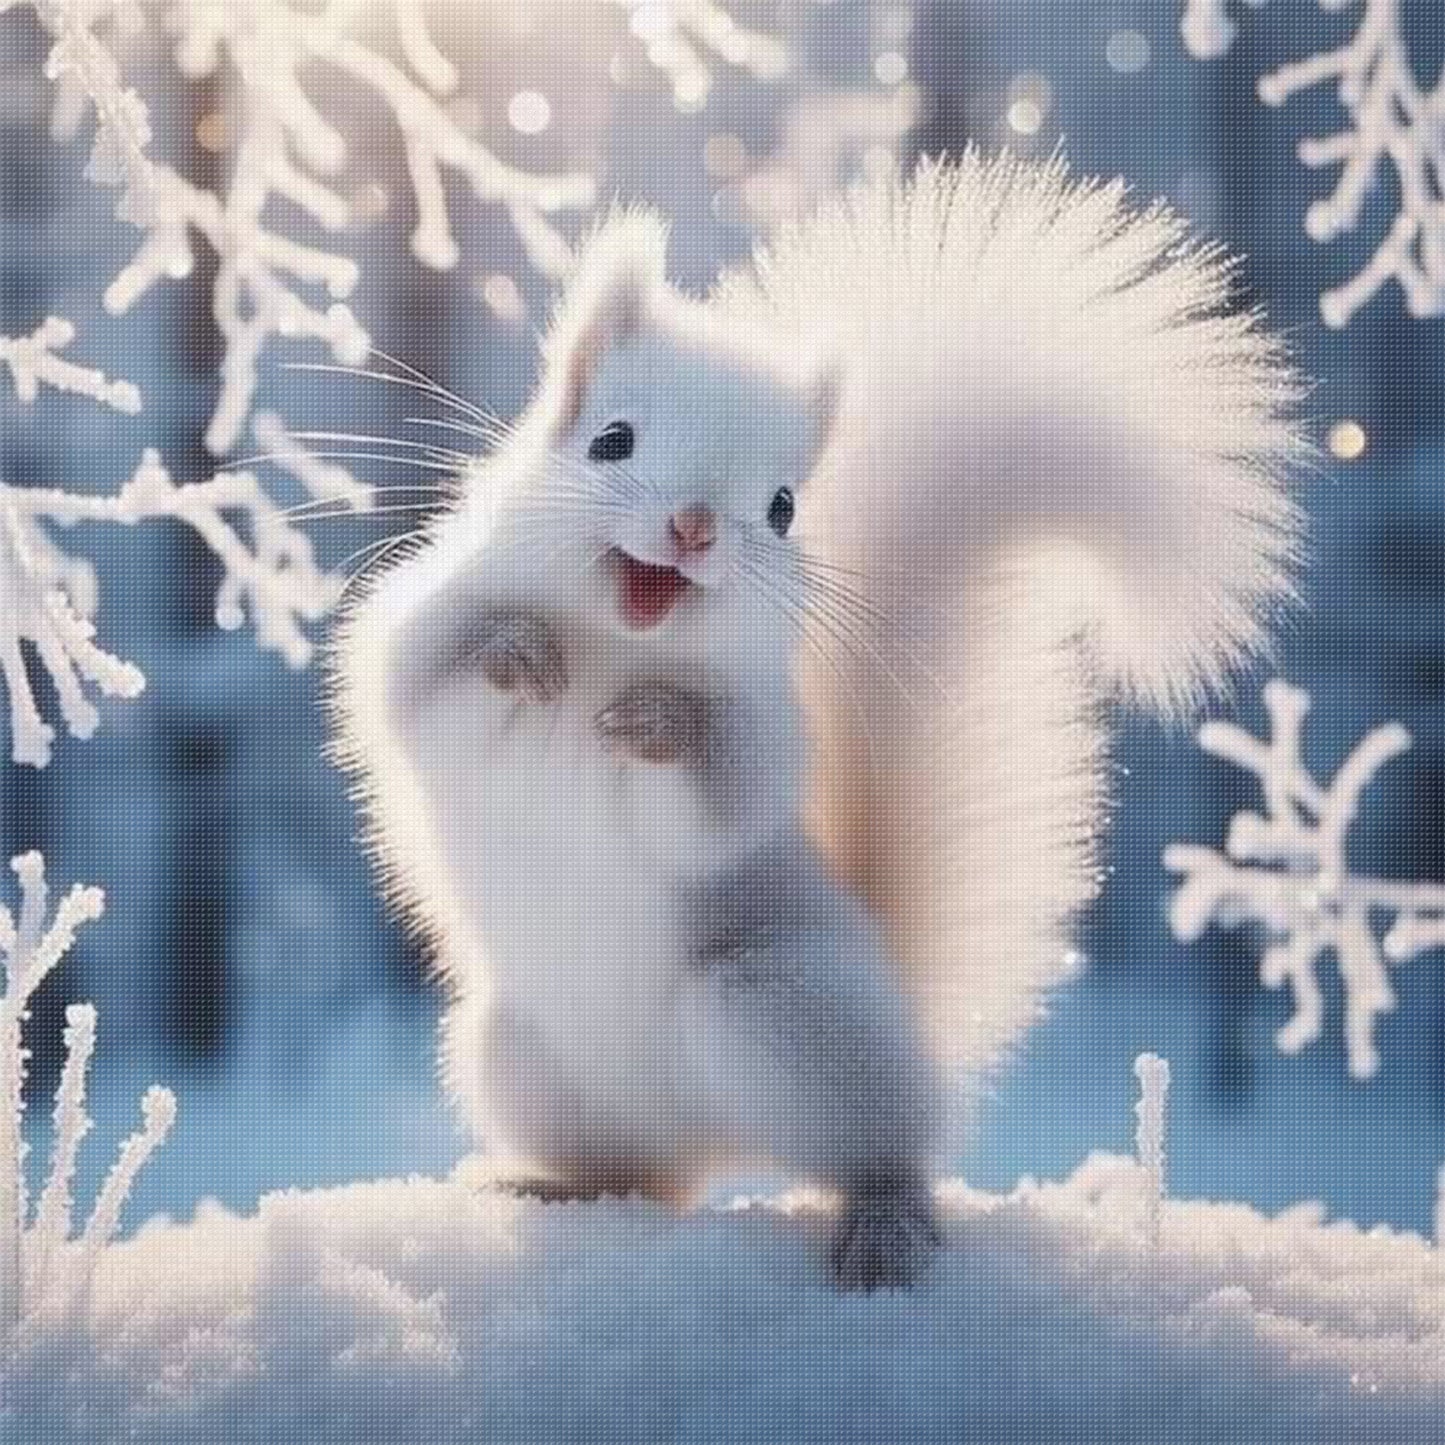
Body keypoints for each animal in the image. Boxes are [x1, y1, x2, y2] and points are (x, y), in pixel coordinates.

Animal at [332, 153, 1305, 1291]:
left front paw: (660, 720)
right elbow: (416, 688)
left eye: (784, 505)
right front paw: (517, 653)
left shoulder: (764, 732)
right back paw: (550, 1186)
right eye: (609, 440)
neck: (618, 641)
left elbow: (716, 799)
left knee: (874, 1150)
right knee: (648, 1178)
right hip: (521, 1062)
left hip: (782, 1011)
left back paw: (882, 1224)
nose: (694, 527)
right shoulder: (424, 623)